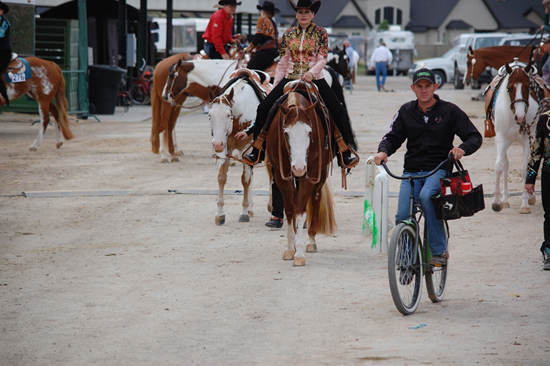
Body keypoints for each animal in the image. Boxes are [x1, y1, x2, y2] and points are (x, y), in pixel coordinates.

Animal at [209, 67, 274, 224]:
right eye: (210, 115)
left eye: (228, 115)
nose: (217, 143)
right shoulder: (226, 149)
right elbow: (222, 177)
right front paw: (220, 213)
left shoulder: (248, 149)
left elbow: (245, 180)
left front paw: (243, 212)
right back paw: (251, 208)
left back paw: (270, 205)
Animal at [266, 81, 338, 268]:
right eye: (286, 133)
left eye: (309, 132)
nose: (298, 167)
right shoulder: (281, 175)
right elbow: (290, 210)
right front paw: (289, 249)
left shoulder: (310, 173)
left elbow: (299, 211)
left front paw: (299, 254)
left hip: (319, 175)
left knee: (315, 198)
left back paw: (311, 241)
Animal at [490, 60, 544, 214]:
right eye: (509, 88)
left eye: (528, 87)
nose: (520, 116)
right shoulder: (501, 138)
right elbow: (499, 166)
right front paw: (496, 201)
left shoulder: (528, 140)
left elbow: (525, 168)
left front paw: (525, 203)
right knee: (505, 163)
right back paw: (505, 199)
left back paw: (530, 197)